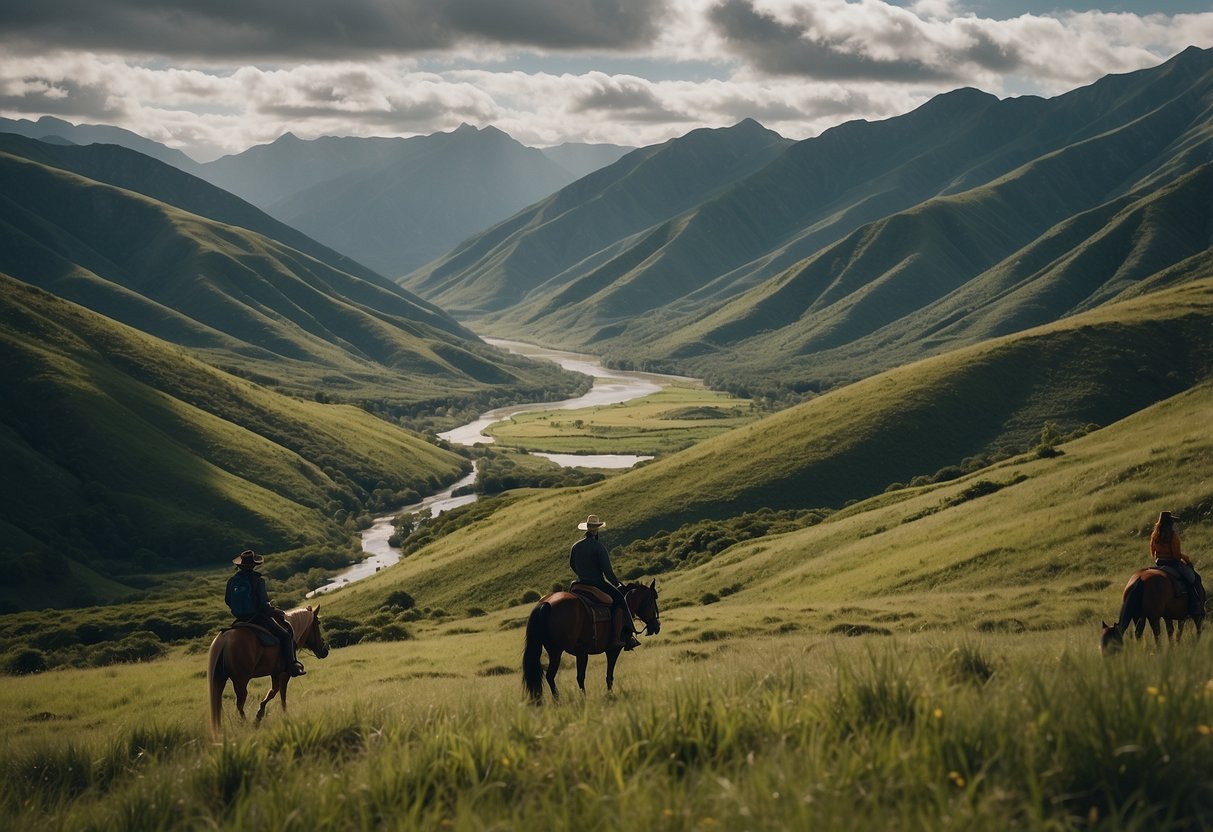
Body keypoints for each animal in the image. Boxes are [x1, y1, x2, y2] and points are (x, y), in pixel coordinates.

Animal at [207, 606, 329, 737]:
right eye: (318, 622)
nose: (325, 650)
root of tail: (225, 640)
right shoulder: (284, 674)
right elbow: (281, 694)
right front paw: (282, 715)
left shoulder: (275, 674)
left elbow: (273, 692)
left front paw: (259, 716)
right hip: (240, 681)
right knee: (239, 705)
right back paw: (246, 725)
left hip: (220, 680)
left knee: (218, 705)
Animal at [519, 579, 659, 703]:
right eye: (653, 601)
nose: (657, 626)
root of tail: (546, 603)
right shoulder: (613, 650)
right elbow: (609, 676)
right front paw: (610, 695)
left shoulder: (582, 653)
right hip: (559, 651)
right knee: (553, 675)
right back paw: (562, 700)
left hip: (555, 651)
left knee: (550, 676)